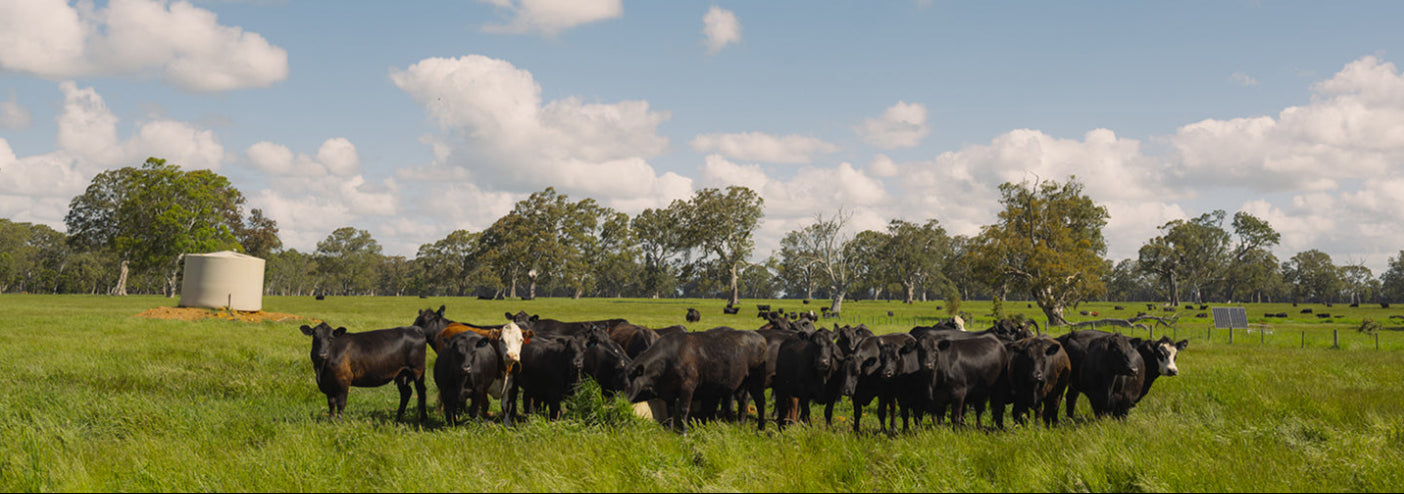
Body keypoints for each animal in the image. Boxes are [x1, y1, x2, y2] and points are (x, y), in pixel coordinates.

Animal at [298, 322, 427, 424]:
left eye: (331, 338)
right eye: (315, 337)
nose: (322, 354)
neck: (322, 369)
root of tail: (414, 328)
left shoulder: (343, 380)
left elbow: (341, 403)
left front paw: (339, 422)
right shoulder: (328, 383)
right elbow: (331, 403)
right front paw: (331, 420)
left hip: (417, 371)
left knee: (421, 392)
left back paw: (422, 419)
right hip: (402, 374)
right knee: (406, 393)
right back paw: (397, 419)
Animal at [626, 327, 769, 433]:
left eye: (627, 384)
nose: (621, 402)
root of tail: (758, 336)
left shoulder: (687, 386)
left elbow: (684, 409)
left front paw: (684, 432)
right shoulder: (669, 391)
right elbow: (670, 411)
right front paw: (670, 430)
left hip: (756, 380)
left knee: (760, 401)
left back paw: (761, 427)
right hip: (740, 383)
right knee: (743, 400)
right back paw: (740, 424)